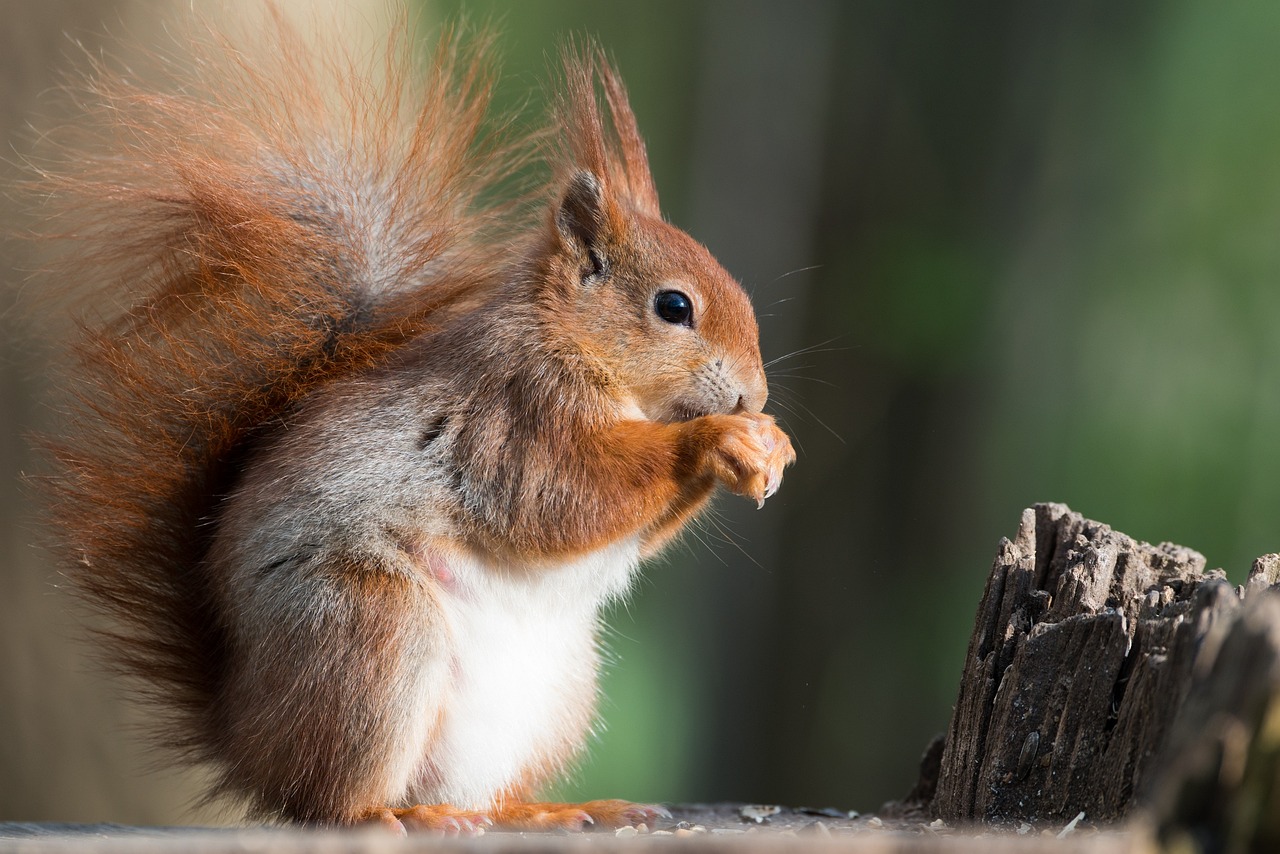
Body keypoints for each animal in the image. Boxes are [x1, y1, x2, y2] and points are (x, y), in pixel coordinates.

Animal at [27, 6, 788, 834]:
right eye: (674, 306)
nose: (752, 397)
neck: (576, 345)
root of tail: (246, 738)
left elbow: (629, 529)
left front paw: (769, 445)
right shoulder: (513, 411)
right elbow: (564, 497)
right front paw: (714, 439)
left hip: (556, 693)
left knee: (477, 793)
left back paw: (542, 810)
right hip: (373, 630)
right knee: (328, 799)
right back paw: (396, 815)